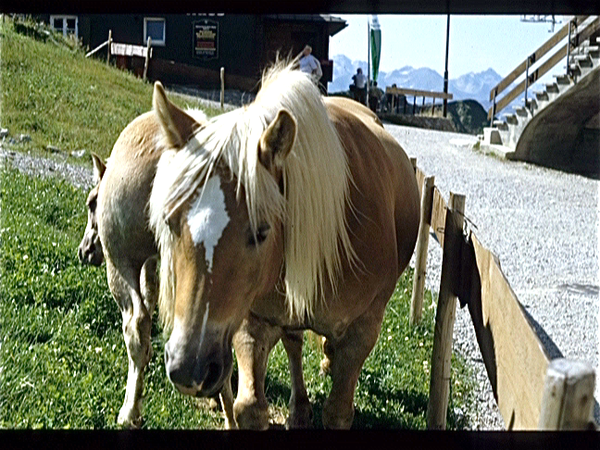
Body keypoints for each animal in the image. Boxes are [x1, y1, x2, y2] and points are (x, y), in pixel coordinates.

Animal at [149, 60, 420, 428]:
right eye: (170, 222)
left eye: (262, 232)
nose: (189, 367)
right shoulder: (250, 318)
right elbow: (250, 407)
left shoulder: (363, 328)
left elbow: (337, 411)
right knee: (294, 342)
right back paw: (300, 406)